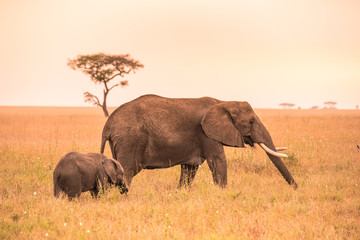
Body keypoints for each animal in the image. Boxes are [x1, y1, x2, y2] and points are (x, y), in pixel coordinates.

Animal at [100, 94, 296, 189]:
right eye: (251, 122)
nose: (296, 188)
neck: (223, 102)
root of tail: (107, 125)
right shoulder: (205, 133)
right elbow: (218, 161)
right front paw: (223, 194)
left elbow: (189, 169)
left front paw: (180, 193)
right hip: (130, 140)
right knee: (127, 170)